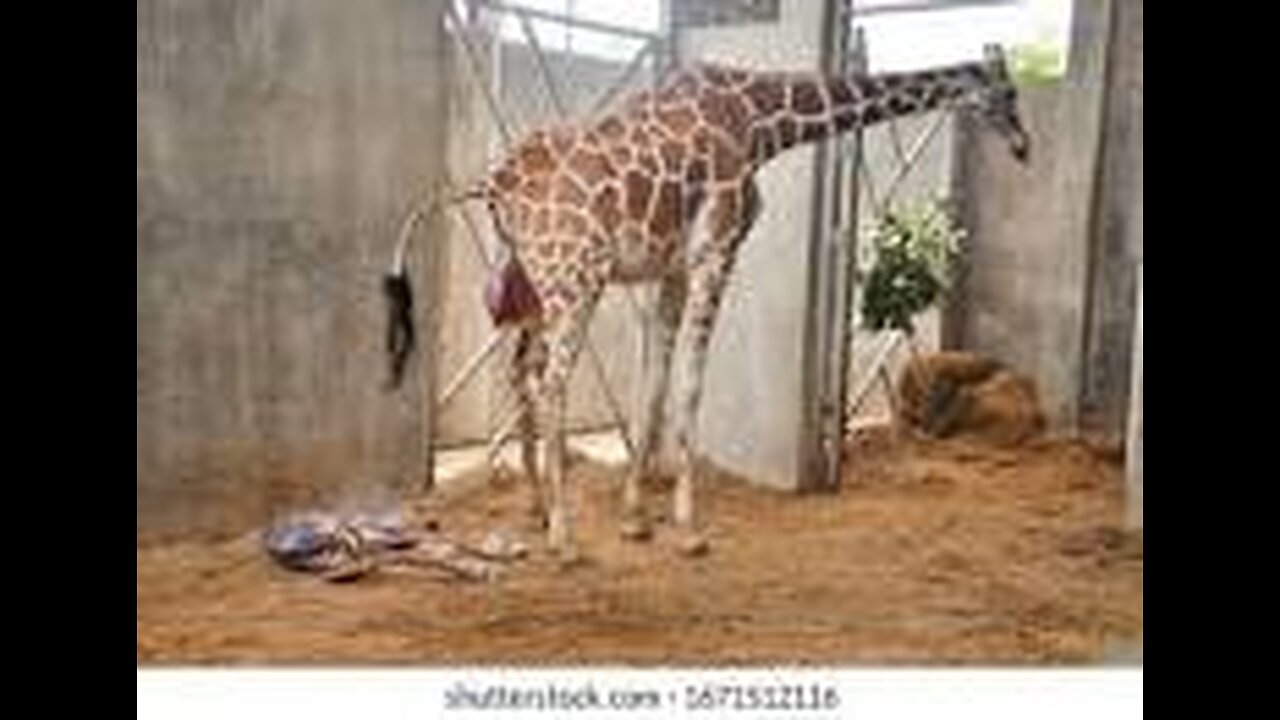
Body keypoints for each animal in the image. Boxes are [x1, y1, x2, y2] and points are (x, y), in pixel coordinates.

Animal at [386, 44, 1029, 561]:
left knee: (523, 371)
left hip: (535, 285)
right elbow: (692, 383)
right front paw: (689, 530)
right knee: (551, 383)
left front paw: (636, 520)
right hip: (576, 280)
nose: (1024, 146)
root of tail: (492, 184)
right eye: (1009, 94)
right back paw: (563, 539)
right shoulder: (715, 253)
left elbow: (654, 383)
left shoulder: (673, 267)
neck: (761, 122)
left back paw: (538, 510)